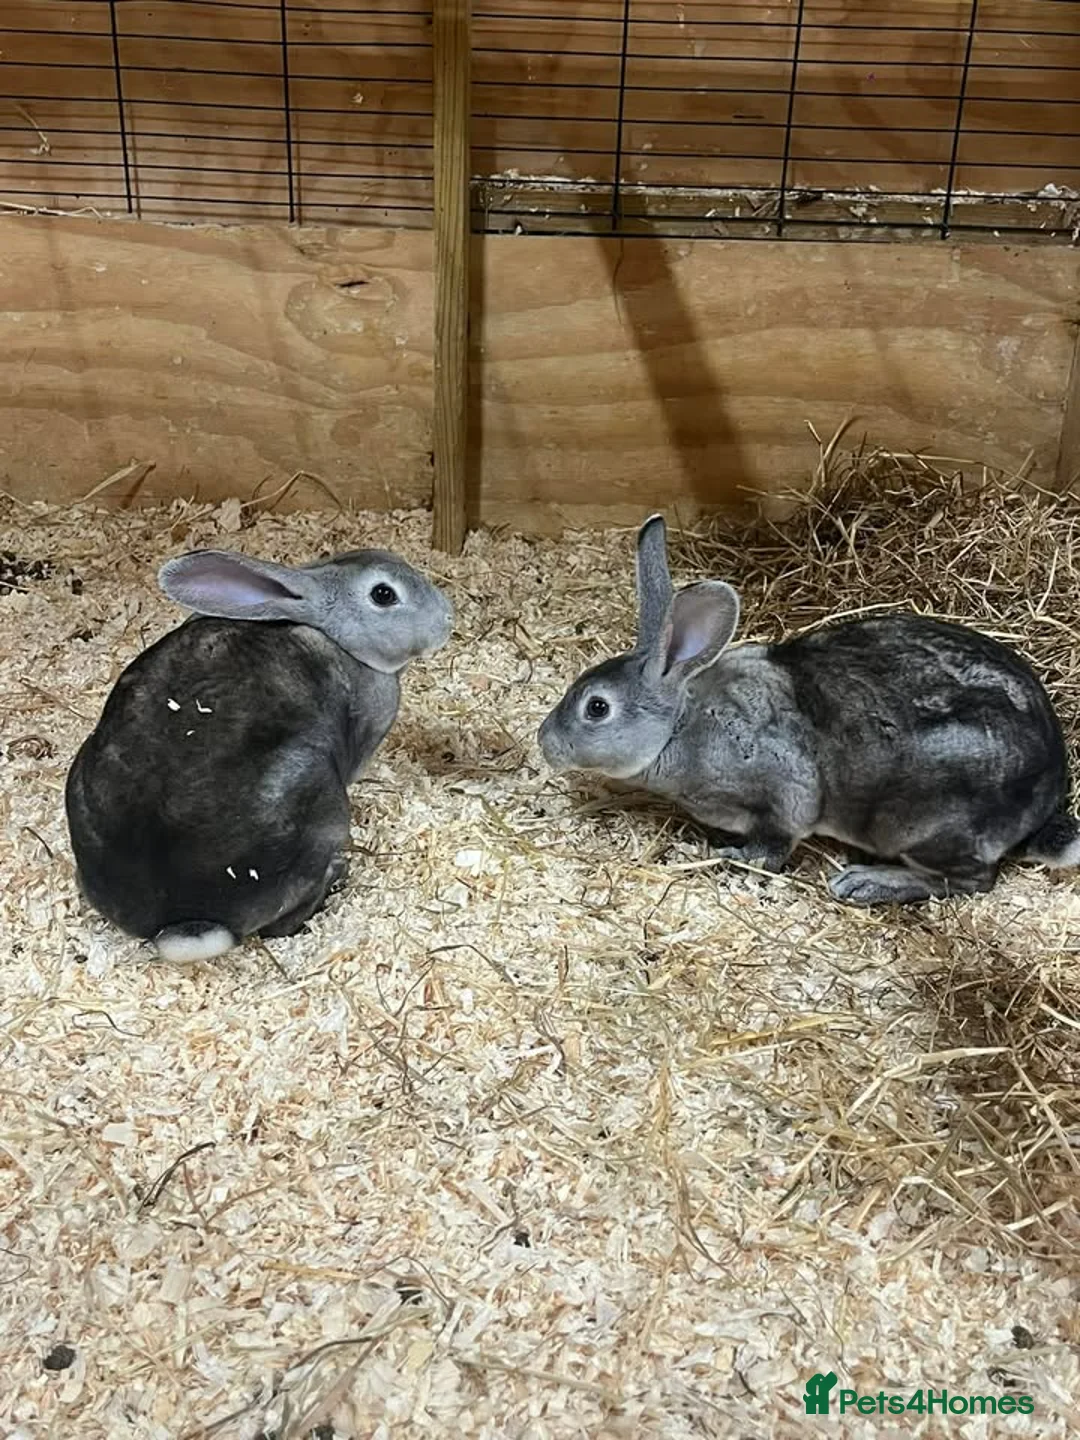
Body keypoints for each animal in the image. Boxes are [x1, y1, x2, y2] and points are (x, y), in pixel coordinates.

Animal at [65, 546, 453, 960]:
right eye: (383, 594)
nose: (447, 620)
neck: (330, 634)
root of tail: (181, 924)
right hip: (324, 814)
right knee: (282, 924)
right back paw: (338, 874)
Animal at [537, 514, 1080, 906]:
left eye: (597, 708)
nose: (546, 744)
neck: (682, 725)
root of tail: (1049, 793)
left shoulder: (781, 799)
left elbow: (771, 848)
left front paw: (727, 855)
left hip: (923, 824)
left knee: (975, 880)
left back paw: (866, 884)